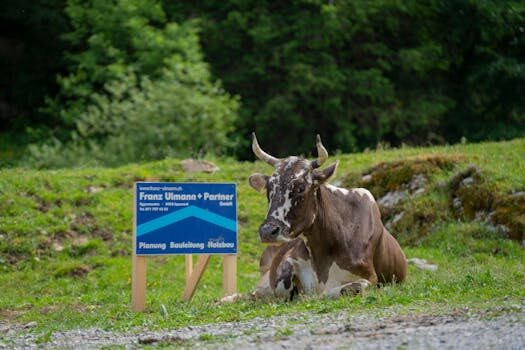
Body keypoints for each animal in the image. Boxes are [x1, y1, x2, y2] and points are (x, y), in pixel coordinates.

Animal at [248, 133, 408, 300]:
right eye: (269, 188)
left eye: (300, 187)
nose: (267, 231)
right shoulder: (290, 260)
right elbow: (282, 283)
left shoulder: (370, 277)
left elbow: (349, 288)